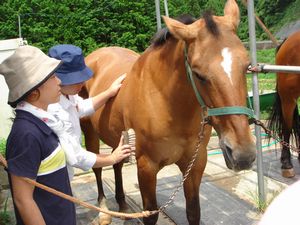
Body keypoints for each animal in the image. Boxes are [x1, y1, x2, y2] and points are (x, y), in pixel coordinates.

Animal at [80, 0, 255, 224]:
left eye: (247, 66)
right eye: (198, 74)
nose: (243, 155)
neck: (168, 104)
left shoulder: (196, 163)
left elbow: (193, 212)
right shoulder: (146, 167)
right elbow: (150, 214)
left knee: (116, 164)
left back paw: (123, 205)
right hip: (90, 132)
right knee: (97, 167)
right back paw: (103, 210)